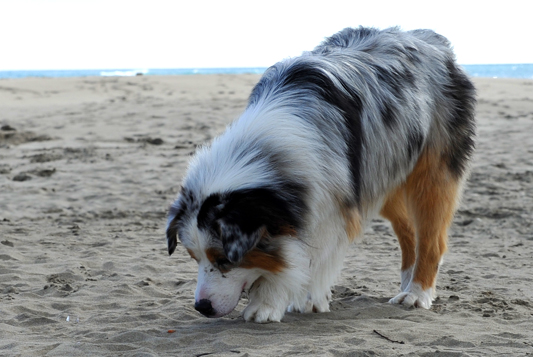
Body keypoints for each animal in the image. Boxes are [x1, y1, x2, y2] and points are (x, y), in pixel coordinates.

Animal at [164, 27, 476, 322]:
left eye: (224, 260)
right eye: (193, 257)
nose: (202, 307)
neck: (262, 149)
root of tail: (430, 38)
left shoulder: (331, 207)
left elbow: (301, 260)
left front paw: (272, 302)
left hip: (430, 175)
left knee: (432, 241)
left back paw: (417, 293)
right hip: (381, 173)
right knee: (409, 231)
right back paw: (408, 283)